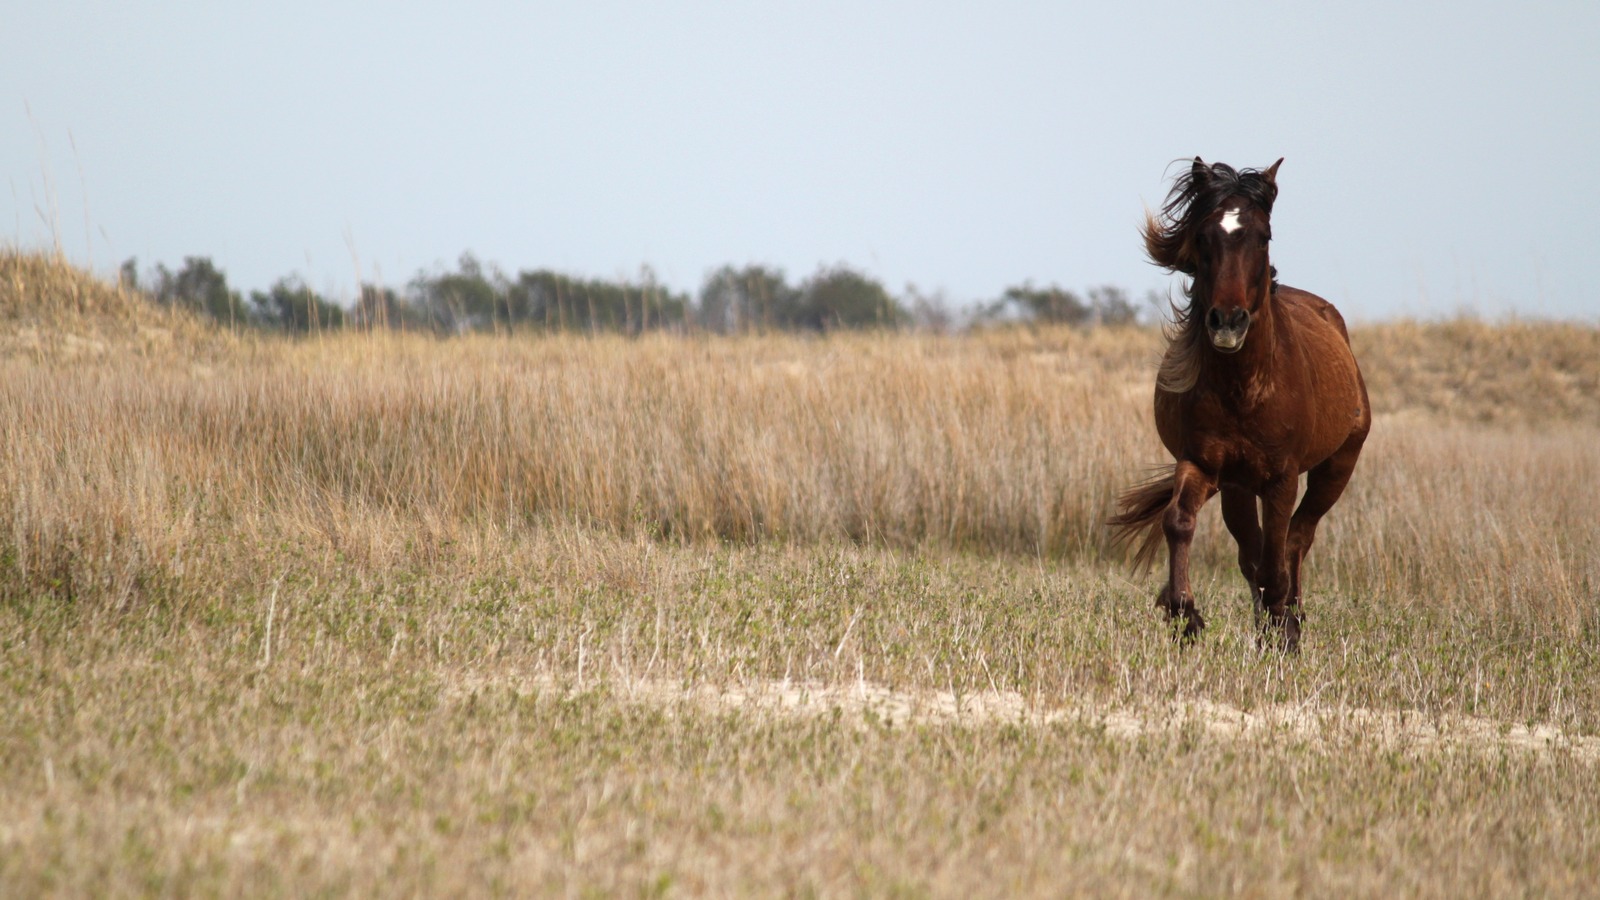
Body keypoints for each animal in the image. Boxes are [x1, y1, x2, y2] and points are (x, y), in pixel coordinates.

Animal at [1109, 158, 1370, 652]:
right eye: (1203, 236)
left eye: (1263, 235)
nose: (1227, 322)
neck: (1246, 390)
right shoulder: (1204, 465)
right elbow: (1180, 523)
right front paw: (1184, 614)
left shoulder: (1282, 477)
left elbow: (1276, 557)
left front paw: (1282, 634)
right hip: (1237, 488)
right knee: (1253, 551)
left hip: (1336, 468)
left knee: (1297, 540)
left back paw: (1291, 622)